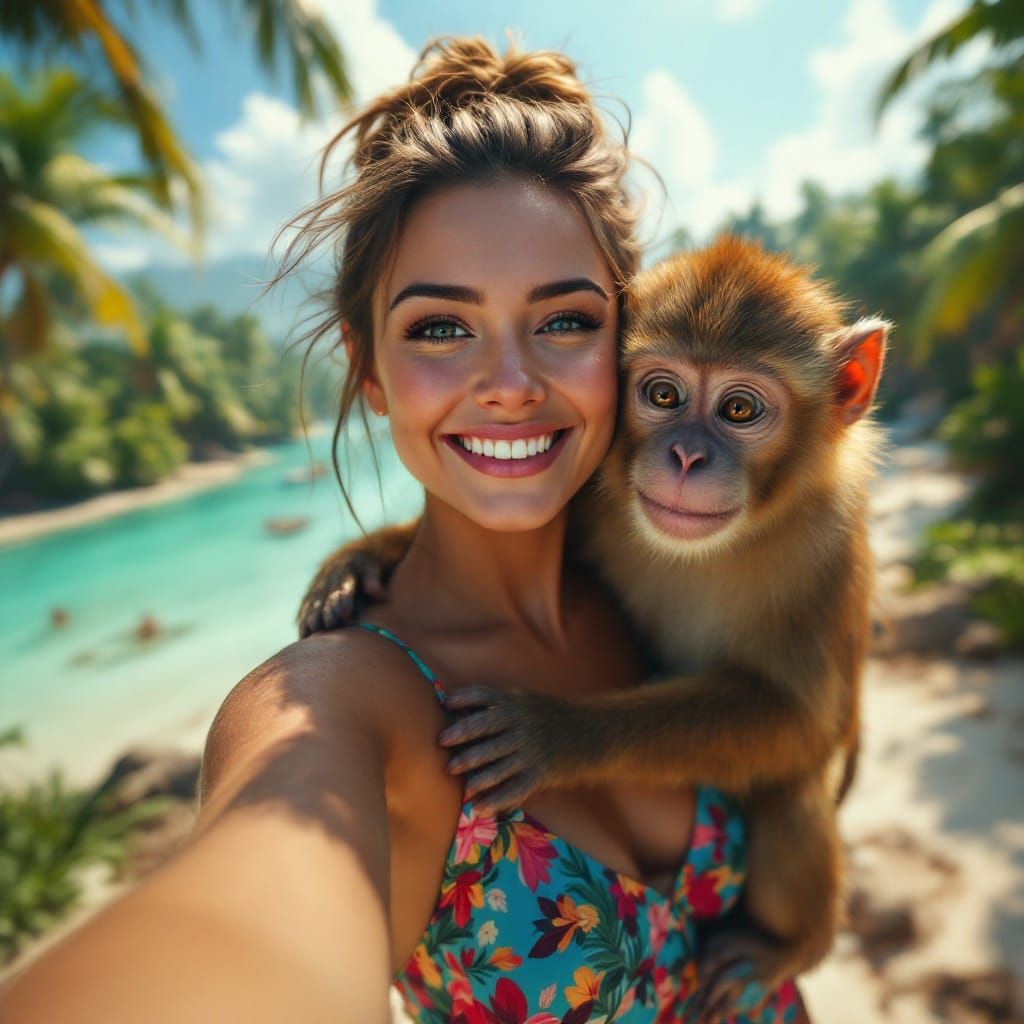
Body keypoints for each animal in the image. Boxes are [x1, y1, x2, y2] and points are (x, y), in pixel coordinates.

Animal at [298, 236, 888, 1017]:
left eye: (738, 407)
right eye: (663, 395)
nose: (686, 456)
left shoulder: (829, 548)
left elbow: (806, 723)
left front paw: (554, 733)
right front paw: (357, 561)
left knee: (791, 793)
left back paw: (793, 944)